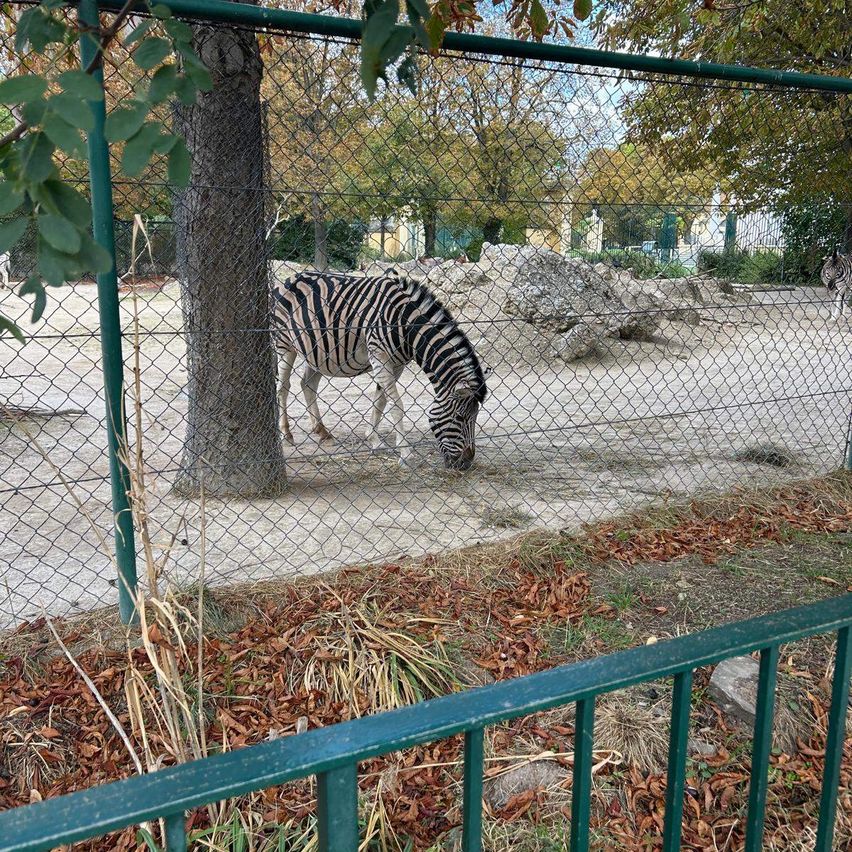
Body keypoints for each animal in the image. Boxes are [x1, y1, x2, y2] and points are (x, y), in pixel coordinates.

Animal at [270, 269, 488, 470]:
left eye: (476, 417)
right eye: (459, 418)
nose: (466, 463)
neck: (405, 324)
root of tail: (288, 279)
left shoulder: (396, 363)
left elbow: (381, 401)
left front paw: (373, 440)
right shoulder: (379, 356)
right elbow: (396, 405)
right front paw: (405, 454)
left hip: (316, 350)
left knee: (308, 384)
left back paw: (322, 431)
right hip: (284, 344)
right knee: (283, 387)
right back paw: (286, 434)